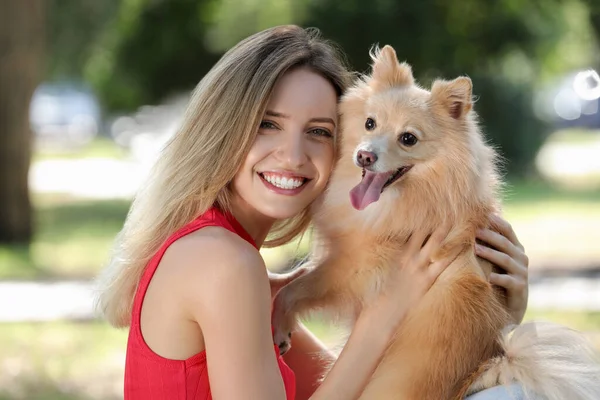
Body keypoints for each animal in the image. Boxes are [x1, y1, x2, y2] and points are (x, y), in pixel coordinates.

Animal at [274, 45, 600, 398]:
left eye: (408, 139)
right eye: (370, 123)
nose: (364, 155)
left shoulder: (355, 268)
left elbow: (297, 287)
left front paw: (279, 319)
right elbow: (298, 277)